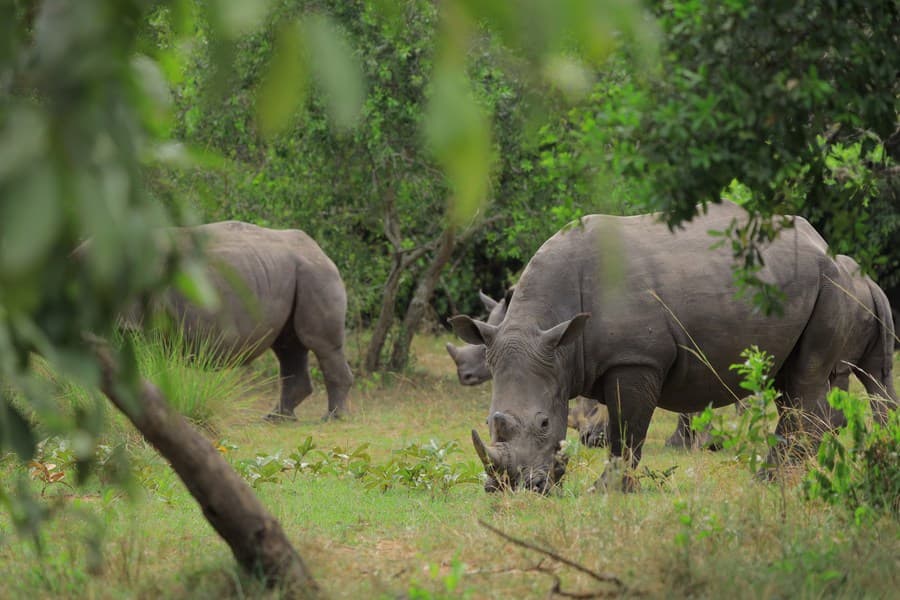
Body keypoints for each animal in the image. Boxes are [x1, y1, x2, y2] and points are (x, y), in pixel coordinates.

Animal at [126, 221, 354, 421]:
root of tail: (320, 251)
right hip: (289, 272)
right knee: (288, 347)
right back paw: (278, 418)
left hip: (316, 274)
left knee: (320, 344)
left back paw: (332, 418)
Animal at [451, 201, 864, 493]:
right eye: (489, 423)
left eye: (543, 423)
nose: (512, 489)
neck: (556, 329)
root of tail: (820, 241)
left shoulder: (635, 359)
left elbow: (626, 431)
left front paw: (608, 491)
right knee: (787, 379)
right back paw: (782, 475)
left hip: (830, 280)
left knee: (806, 375)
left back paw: (771, 481)